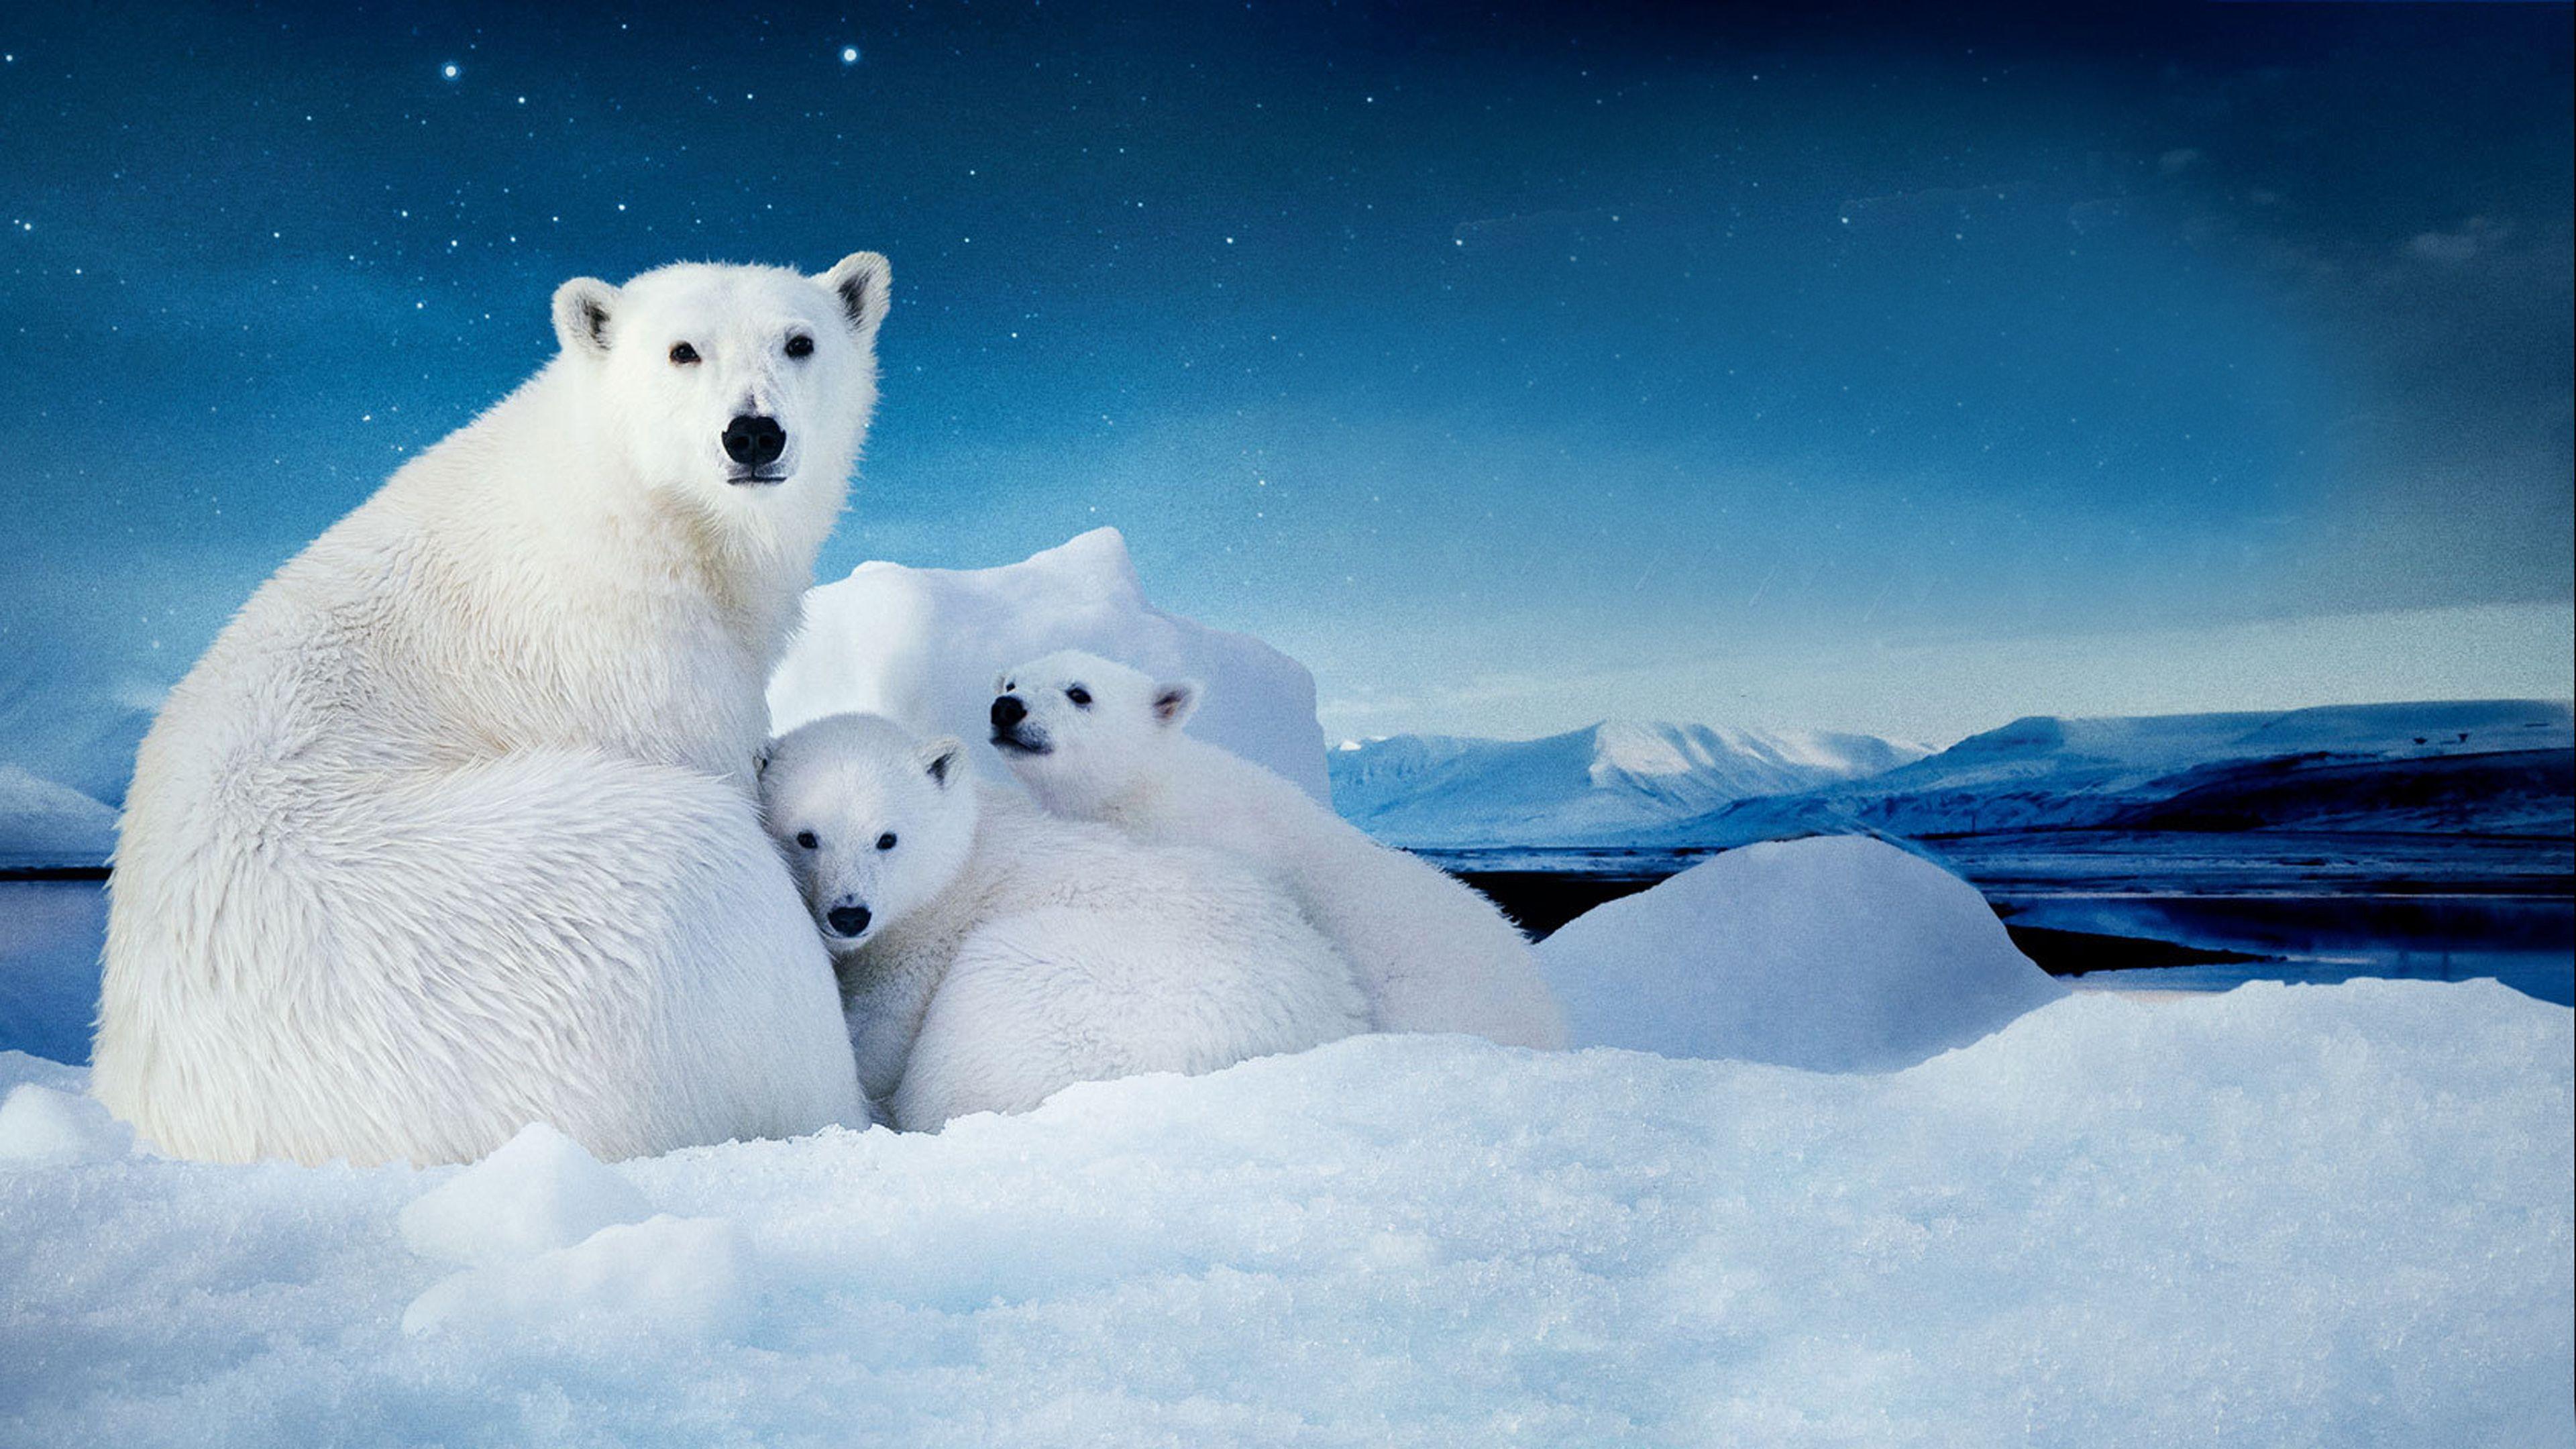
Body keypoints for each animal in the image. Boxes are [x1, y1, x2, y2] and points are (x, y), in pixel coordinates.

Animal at [757, 712, 1369, 1130]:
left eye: (887, 838)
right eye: (806, 836)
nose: (848, 914)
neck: (958, 863)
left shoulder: (926, 945)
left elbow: (881, 1033)